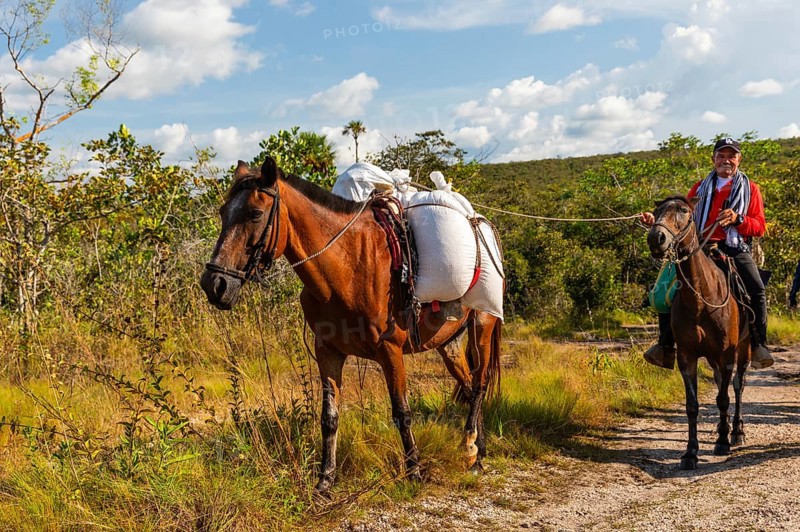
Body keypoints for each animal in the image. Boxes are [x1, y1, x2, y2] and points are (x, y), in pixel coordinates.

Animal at [200, 157, 502, 493]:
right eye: (223, 213)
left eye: (254, 213)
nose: (214, 284)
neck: (348, 268)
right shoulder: (327, 351)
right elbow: (329, 417)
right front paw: (325, 480)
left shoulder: (390, 351)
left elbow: (402, 412)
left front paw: (414, 471)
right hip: (447, 342)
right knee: (468, 385)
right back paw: (477, 448)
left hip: (483, 324)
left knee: (480, 384)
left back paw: (472, 449)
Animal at [647, 195, 750, 469]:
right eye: (656, 212)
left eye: (683, 211)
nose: (656, 238)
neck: (701, 299)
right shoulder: (687, 356)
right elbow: (692, 405)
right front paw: (690, 452)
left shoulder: (727, 355)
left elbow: (724, 398)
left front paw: (723, 442)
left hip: (743, 351)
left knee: (737, 386)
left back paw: (736, 431)